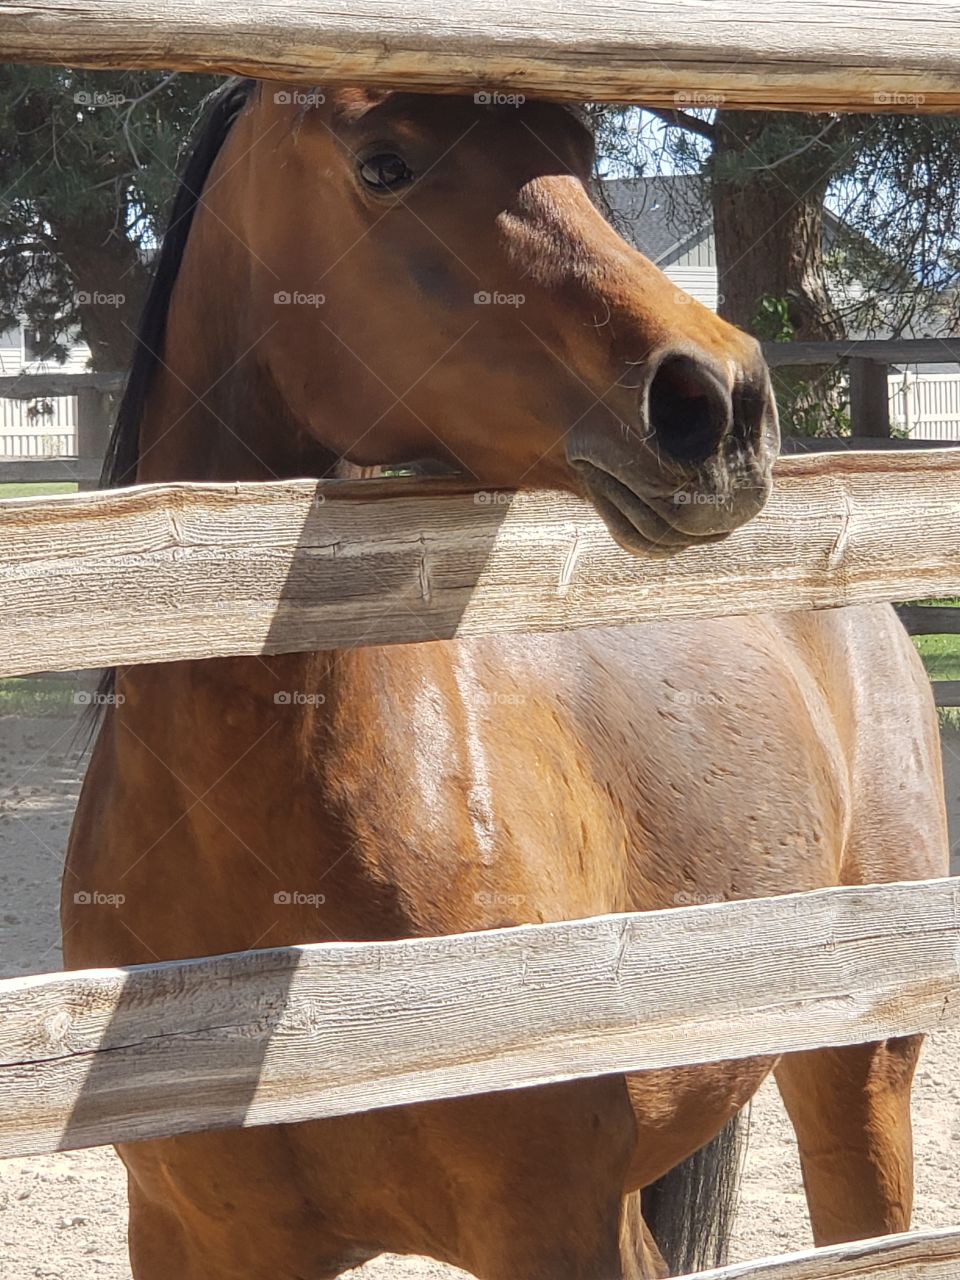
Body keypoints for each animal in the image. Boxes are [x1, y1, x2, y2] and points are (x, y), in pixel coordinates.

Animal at [63, 80, 947, 1280]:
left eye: (578, 151)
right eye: (383, 164)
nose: (718, 400)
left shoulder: (563, 1223)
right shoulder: (196, 1239)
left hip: (857, 1079)